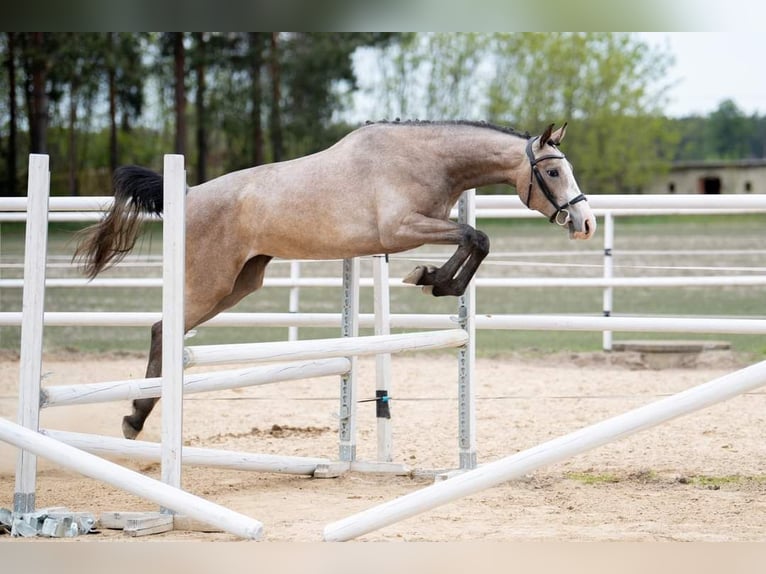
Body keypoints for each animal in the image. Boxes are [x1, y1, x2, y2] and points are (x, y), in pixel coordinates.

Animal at [73, 119, 600, 438]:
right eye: (554, 172)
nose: (586, 223)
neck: (427, 158)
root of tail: (186, 195)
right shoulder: (401, 228)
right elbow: (477, 235)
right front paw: (430, 277)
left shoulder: (421, 225)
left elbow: (475, 240)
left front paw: (433, 278)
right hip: (211, 281)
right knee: (164, 330)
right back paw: (135, 417)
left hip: (242, 282)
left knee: (165, 330)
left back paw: (137, 416)